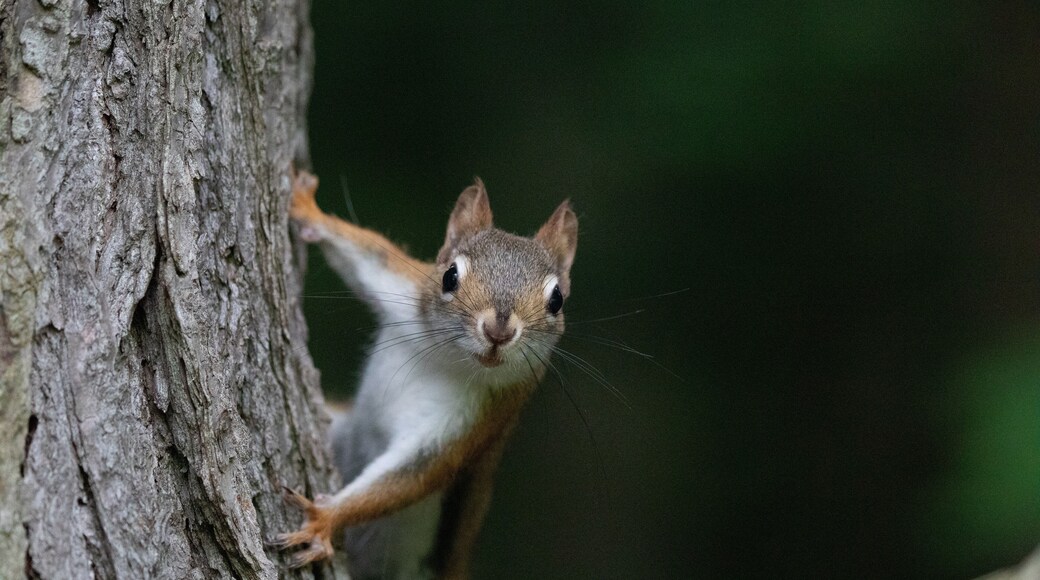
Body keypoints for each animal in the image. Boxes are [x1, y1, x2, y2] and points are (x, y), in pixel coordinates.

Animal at [275, 169, 578, 579]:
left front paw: (324, 518)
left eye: (556, 300)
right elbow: (369, 255)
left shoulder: (474, 420)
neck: (450, 357)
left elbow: (409, 477)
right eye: (449, 276)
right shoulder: (406, 292)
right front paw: (308, 209)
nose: (498, 332)